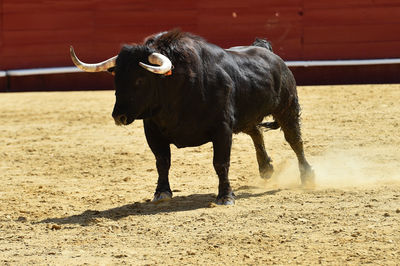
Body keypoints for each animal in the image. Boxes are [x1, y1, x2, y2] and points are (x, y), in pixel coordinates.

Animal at [71, 30, 316, 205]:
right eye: (117, 79)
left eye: (140, 79)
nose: (118, 116)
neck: (177, 88)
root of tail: (268, 53)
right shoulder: (152, 130)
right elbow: (162, 162)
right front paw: (162, 193)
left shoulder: (222, 128)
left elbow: (220, 163)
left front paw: (225, 197)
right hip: (246, 116)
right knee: (256, 132)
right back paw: (266, 169)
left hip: (287, 108)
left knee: (295, 141)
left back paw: (308, 177)